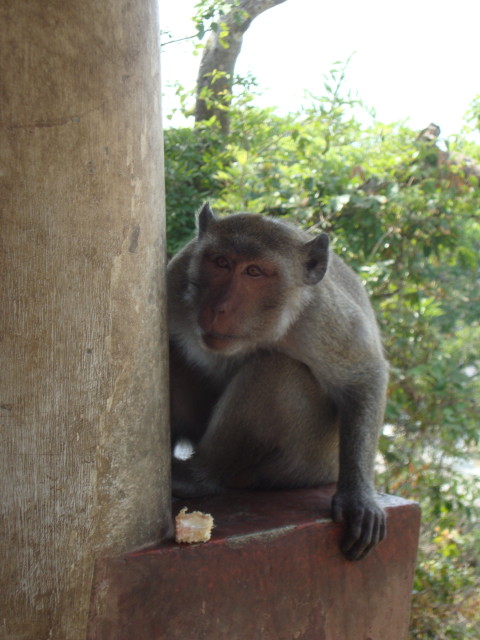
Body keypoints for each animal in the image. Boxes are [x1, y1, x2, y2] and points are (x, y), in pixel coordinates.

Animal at [167, 204, 388, 560]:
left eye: (254, 272)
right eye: (221, 262)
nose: (218, 308)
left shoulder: (319, 317)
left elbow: (363, 377)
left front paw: (358, 497)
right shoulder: (175, 278)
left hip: (305, 463)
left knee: (275, 368)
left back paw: (202, 476)